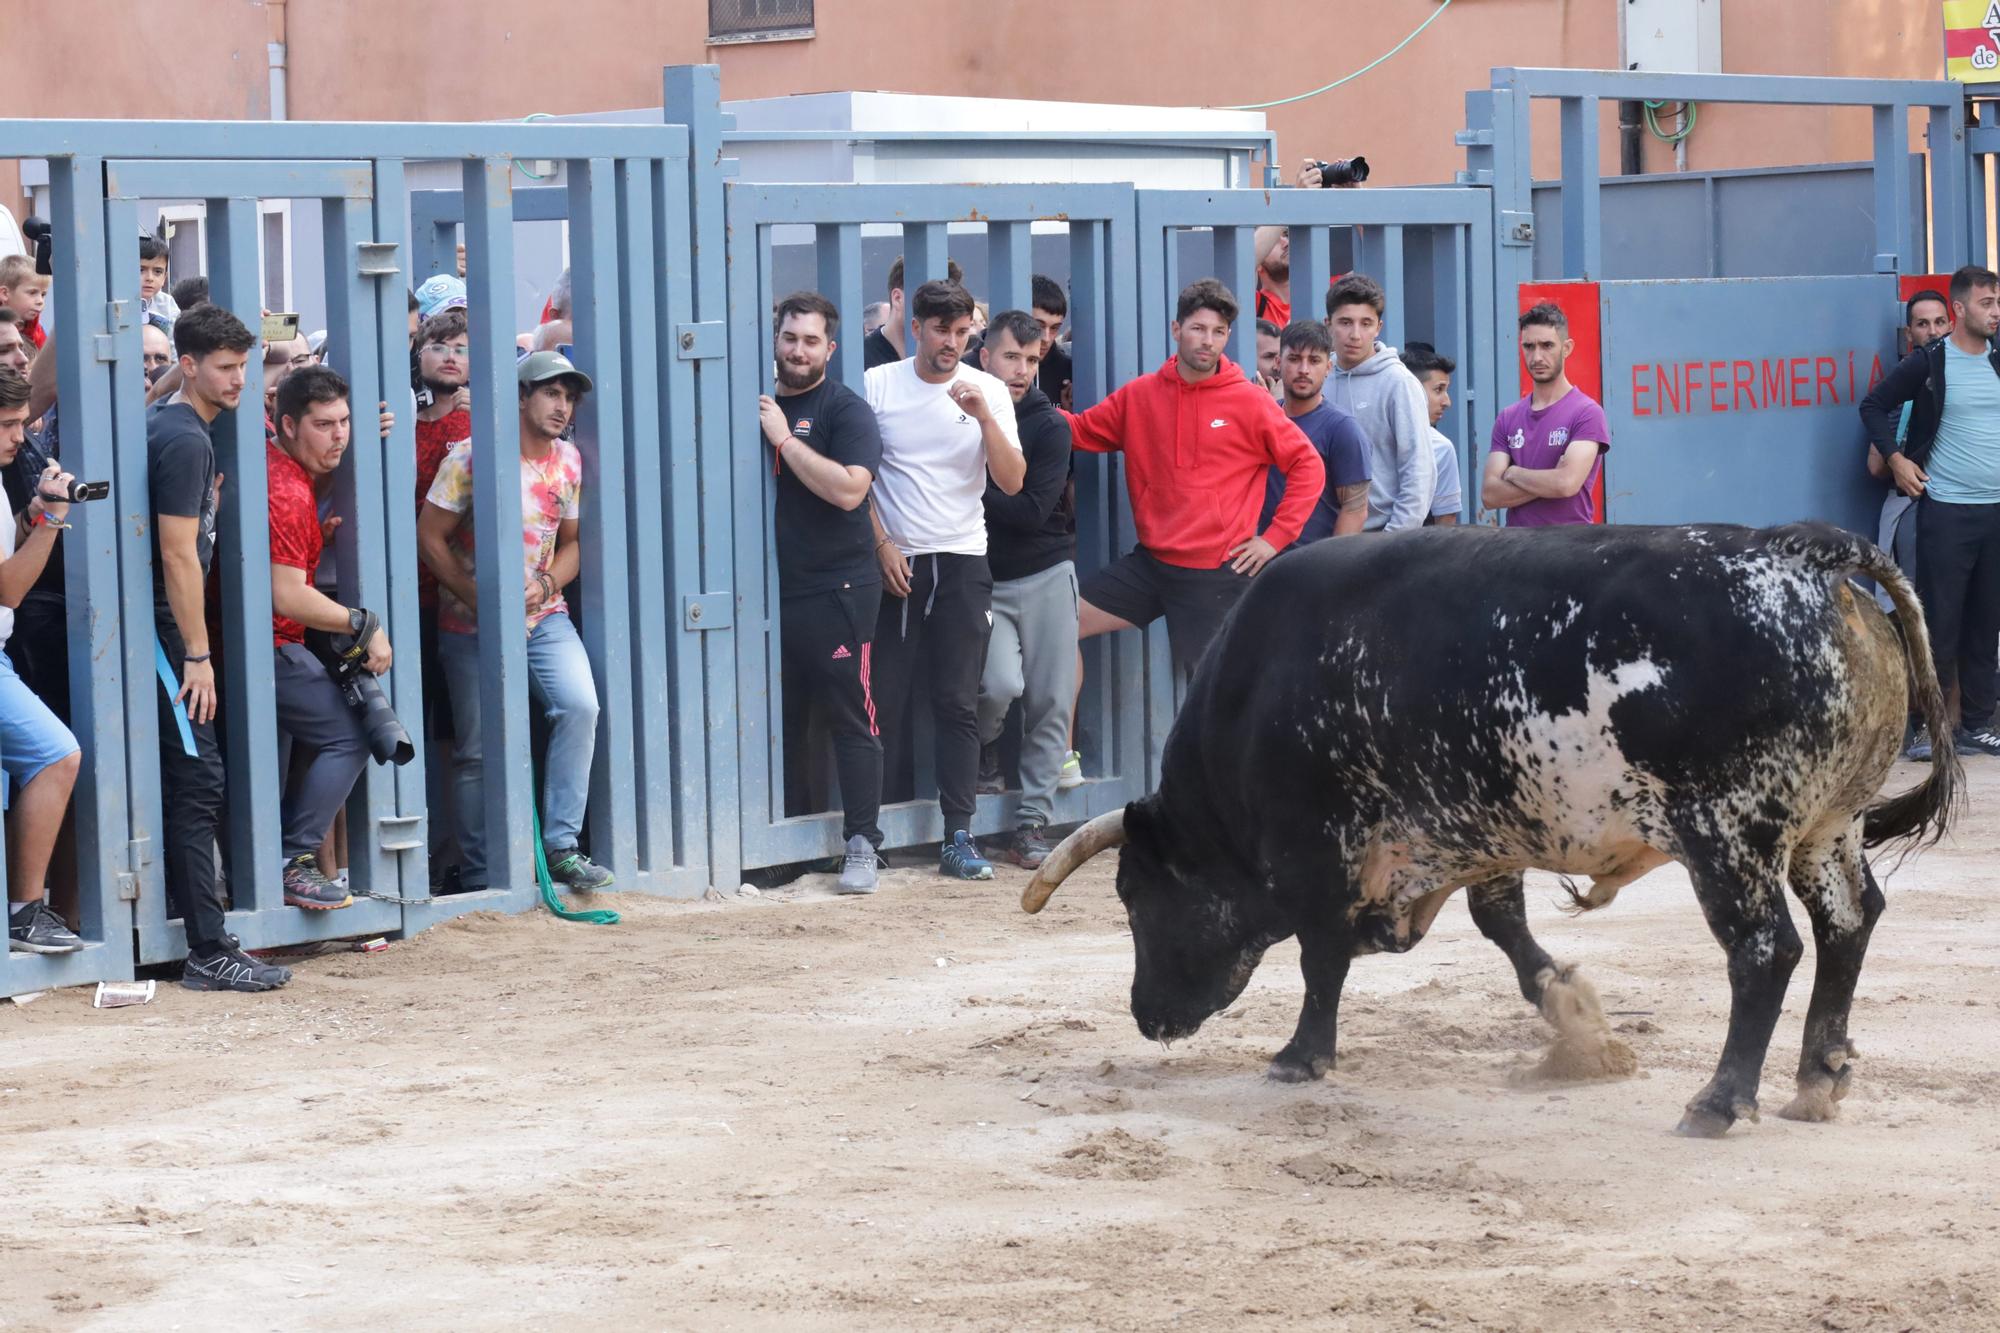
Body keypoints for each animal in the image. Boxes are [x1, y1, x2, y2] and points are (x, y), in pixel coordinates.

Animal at [1024, 520, 1960, 1128]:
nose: (1146, 1016)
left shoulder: (1317, 850)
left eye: (1134, 896)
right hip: (1828, 827)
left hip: (1727, 837)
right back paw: (1819, 1075)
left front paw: (1300, 1055)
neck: (1256, 691)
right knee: (1848, 924)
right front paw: (1572, 1013)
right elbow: (1499, 922)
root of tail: (1804, 553)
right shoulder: (1480, 830)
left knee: (1766, 949)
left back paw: (1723, 1098)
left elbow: (1321, 958)